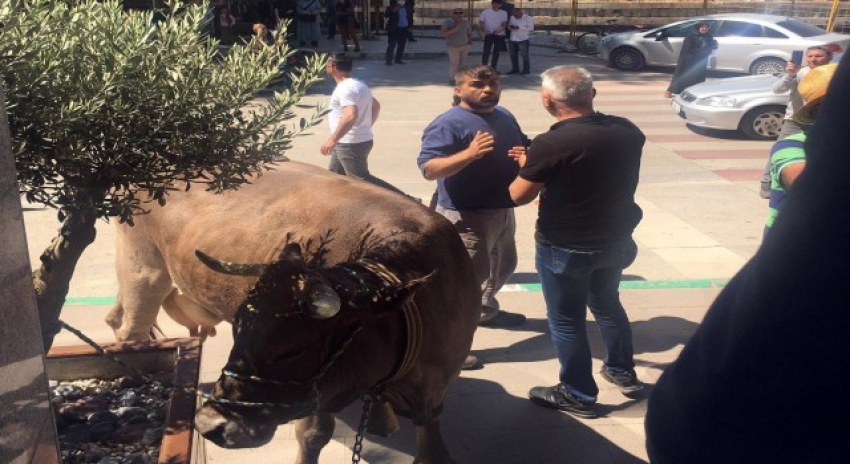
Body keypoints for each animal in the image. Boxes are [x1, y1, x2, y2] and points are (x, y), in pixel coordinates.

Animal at [105, 161, 476, 462]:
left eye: (293, 351)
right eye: (238, 330)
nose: (210, 425)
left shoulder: (434, 394)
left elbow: (434, 450)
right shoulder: (318, 396)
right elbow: (313, 436)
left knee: (115, 316)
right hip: (143, 269)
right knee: (130, 329)